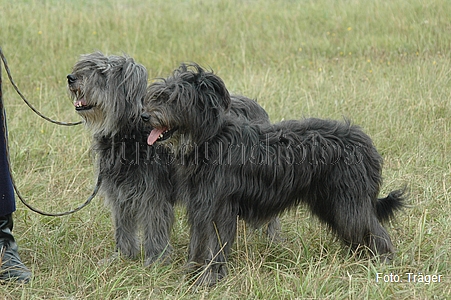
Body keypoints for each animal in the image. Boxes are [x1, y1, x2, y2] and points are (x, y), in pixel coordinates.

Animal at [67, 52, 278, 268]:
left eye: (102, 73)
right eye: (85, 66)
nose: (71, 78)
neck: (131, 133)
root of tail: (258, 108)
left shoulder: (153, 194)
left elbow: (155, 226)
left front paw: (155, 260)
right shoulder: (120, 193)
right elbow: (123, 226)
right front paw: (121, 256)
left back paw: (271, 238)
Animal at [142, 63, 406, 286]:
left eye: (173, 99)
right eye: (156, 95)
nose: (145, 116)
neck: (210, 139)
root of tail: (365, 144)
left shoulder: (218, 207)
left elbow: (214, 246)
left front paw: (209, 278)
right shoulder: (201, 207)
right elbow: (198, 242)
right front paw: (191, 272)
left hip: (348, 203)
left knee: (374, 231)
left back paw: (382, 261)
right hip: (332, 203)